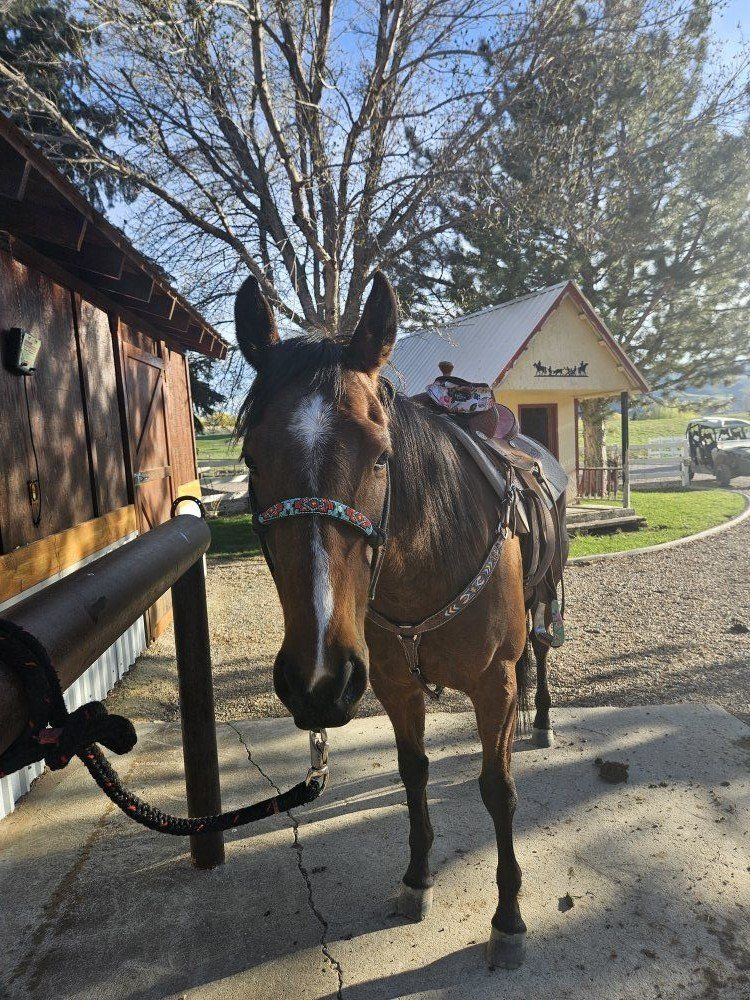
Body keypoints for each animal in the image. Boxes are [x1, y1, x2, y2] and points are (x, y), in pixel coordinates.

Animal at [234, 270, 566, 969]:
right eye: (250, 458)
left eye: (382, 456)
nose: (319, 680)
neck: (429, 558)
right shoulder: (394, 685)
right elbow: (414, 774)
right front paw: (416, 881)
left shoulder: (491, 684)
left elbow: (498, 789)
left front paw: (509, 917)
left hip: (546, 597)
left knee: (541, 655)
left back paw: (543, 719)